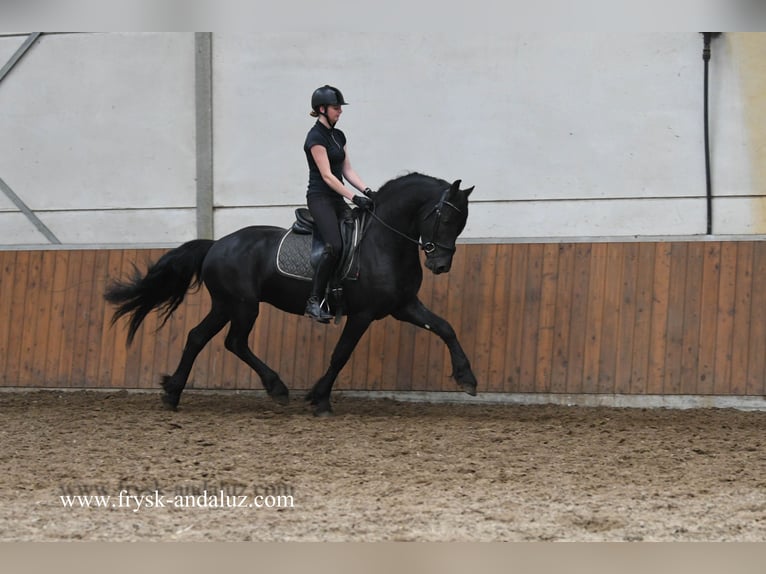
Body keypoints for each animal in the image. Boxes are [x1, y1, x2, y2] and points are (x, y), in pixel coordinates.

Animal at [104, 172, 477, 416]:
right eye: (445, 219)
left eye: (461, 224)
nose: (440, 265)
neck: (382, 243)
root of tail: (217, 244)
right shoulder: (363, 314)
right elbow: (341, 354)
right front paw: (320, 399)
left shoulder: (404, 305)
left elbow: (445, 328)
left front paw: (467, 378)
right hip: (243, 305)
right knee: (234, 342)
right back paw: (276, 388)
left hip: (225, 304)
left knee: (198, 337)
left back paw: (172, 394)